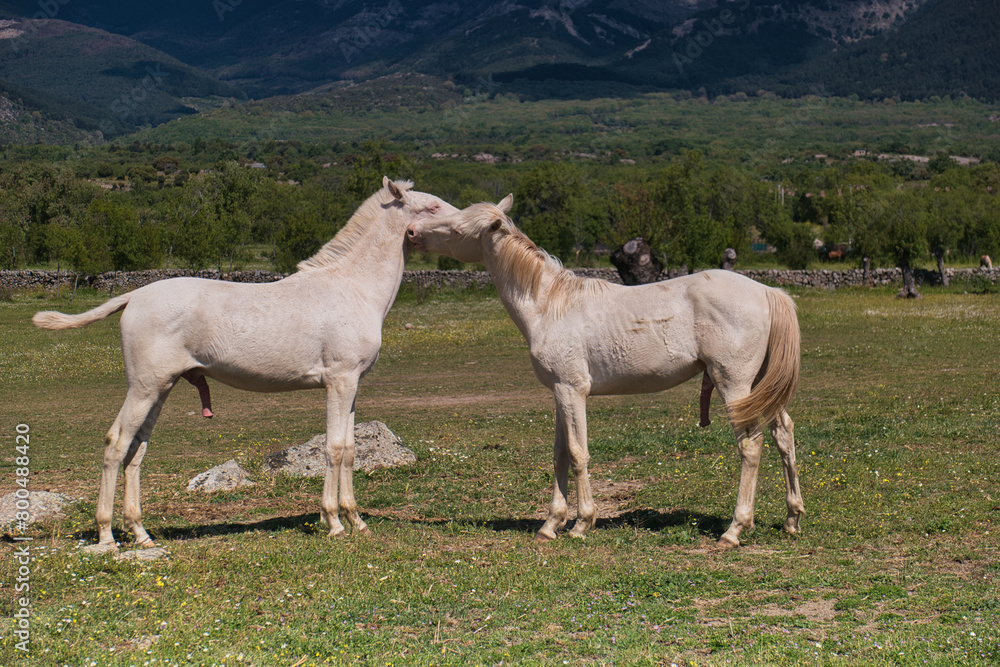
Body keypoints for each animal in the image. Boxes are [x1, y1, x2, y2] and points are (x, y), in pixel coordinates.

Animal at [34, 179, 458, 552]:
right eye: (433, 207)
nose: (466, 224)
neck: (353, 288)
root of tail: (133, 296)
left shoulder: (352, 385)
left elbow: (352, 449)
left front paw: (357, 520)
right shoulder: (339, 381)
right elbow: (334, 448)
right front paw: (335, 522)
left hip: (160, 388)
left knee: (136, 450)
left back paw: (141, 533)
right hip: (143, 387)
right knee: (116, 444)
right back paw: (106, 536)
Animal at [406, 197, 804, 548]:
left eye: (457, 228)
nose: (411, 231)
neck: (550, 304)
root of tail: (769, 292)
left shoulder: (573, 390)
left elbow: (578, 454)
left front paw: (582, 524)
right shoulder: (559, 392)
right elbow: (560, 455)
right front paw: (550, 524)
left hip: (734, 385)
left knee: (751, 447)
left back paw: (734, 530)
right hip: (760, 388)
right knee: (784, 435)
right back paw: (792, 519)